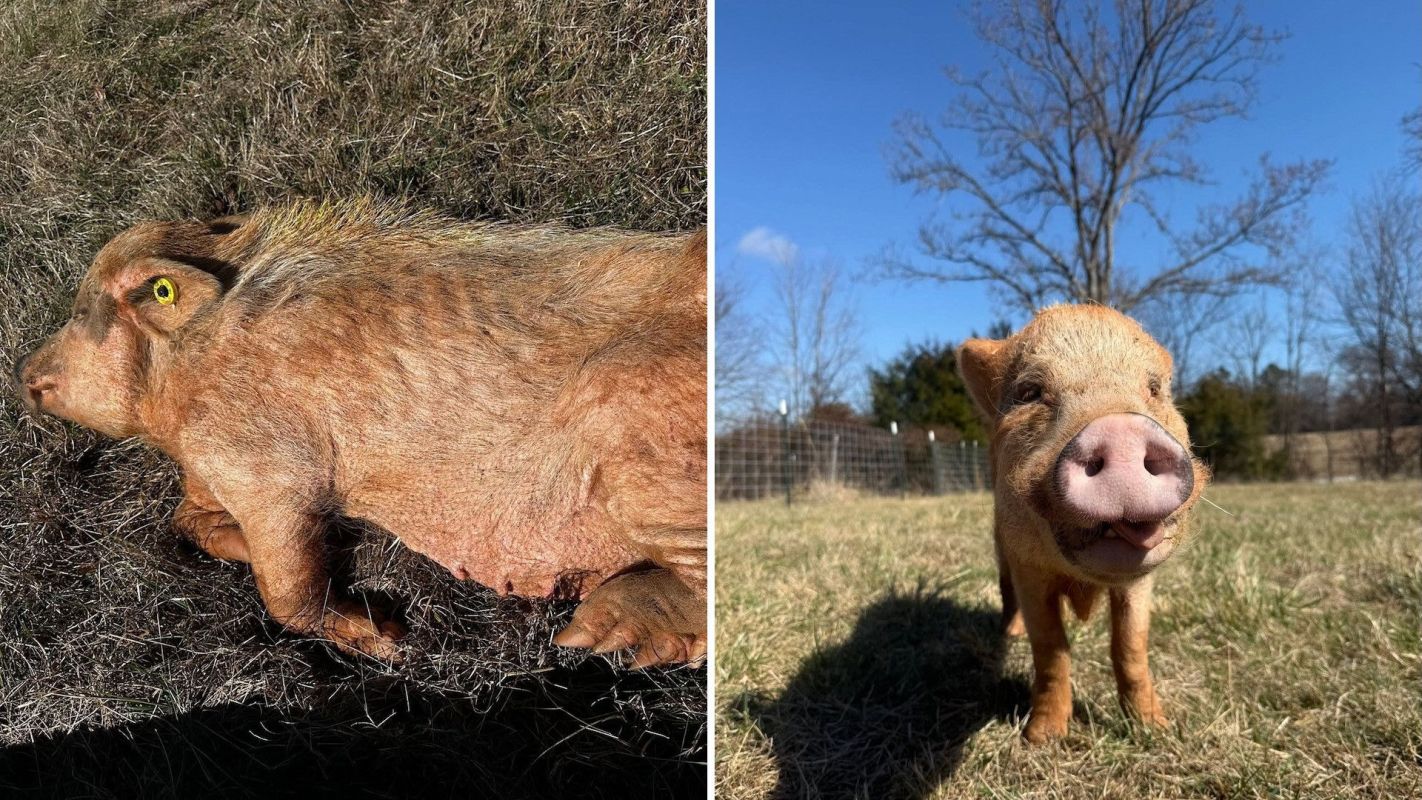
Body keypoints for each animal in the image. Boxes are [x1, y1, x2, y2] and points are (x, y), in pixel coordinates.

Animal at [14, 200, 707, 668]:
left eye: (82, 311)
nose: (22, 371)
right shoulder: (209, 470)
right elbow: (188, 521)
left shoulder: (267, 463)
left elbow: (285, 586)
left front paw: (389, 640)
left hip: (642, 436)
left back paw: (588, 635)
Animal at [956, 304, 1209, 743]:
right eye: (1030, 392)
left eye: (1154, 388)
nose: (1121, 430)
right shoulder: (1028, 568)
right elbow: (1051, 648)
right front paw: (1042, 739)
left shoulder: (1140, 582)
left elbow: (1130, 645)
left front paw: (1155, 729)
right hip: (1000, 548)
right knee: (1006, 593)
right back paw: (1010, 634)